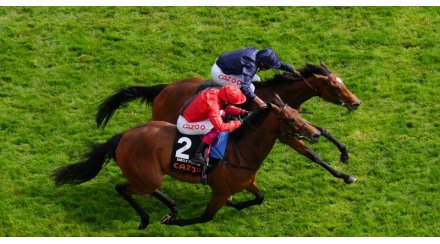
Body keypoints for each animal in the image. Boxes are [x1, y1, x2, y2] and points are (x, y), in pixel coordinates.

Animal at [52, 96, 320, 230]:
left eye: (299, 114)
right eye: (289, 119)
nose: (316, 134)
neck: (241, 150)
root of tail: (123, 136)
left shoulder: (246, 182)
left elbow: (260, 197)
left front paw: (236, 203)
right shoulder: (219, 191)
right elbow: (205, 217)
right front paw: (174, 222)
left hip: (149, 175)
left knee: (145, 189)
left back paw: (171, 207)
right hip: (147, 175)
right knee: (123, 188)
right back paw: (148, 218)